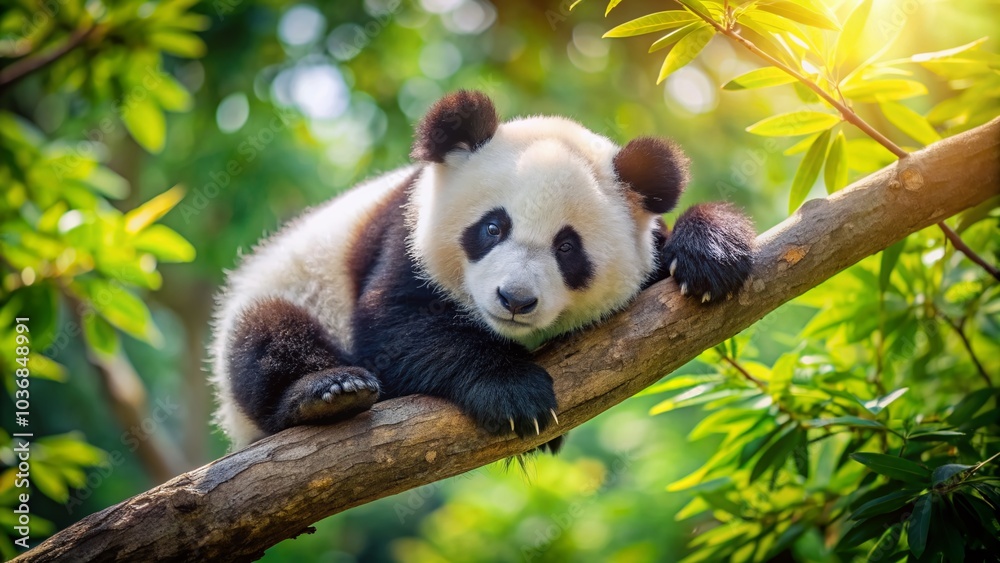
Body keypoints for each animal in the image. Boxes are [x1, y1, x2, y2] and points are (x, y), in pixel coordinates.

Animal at [209, 90, 755, 451]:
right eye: (492, 227)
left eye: (567, 248)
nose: (515, 300)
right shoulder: (403, 240)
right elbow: (397, 326)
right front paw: (513, 393)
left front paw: (712, 255)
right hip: (286, 295)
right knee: (266, 338)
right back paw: (327, 393)